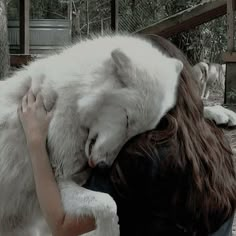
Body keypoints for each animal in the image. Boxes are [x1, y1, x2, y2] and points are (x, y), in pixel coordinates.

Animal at [0, 34, 183, 236]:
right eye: (128, 120)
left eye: (139, 134)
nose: (104, 166)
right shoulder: (59, 180)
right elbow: (108, 203)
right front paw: (110, 230)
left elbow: (106, 202)